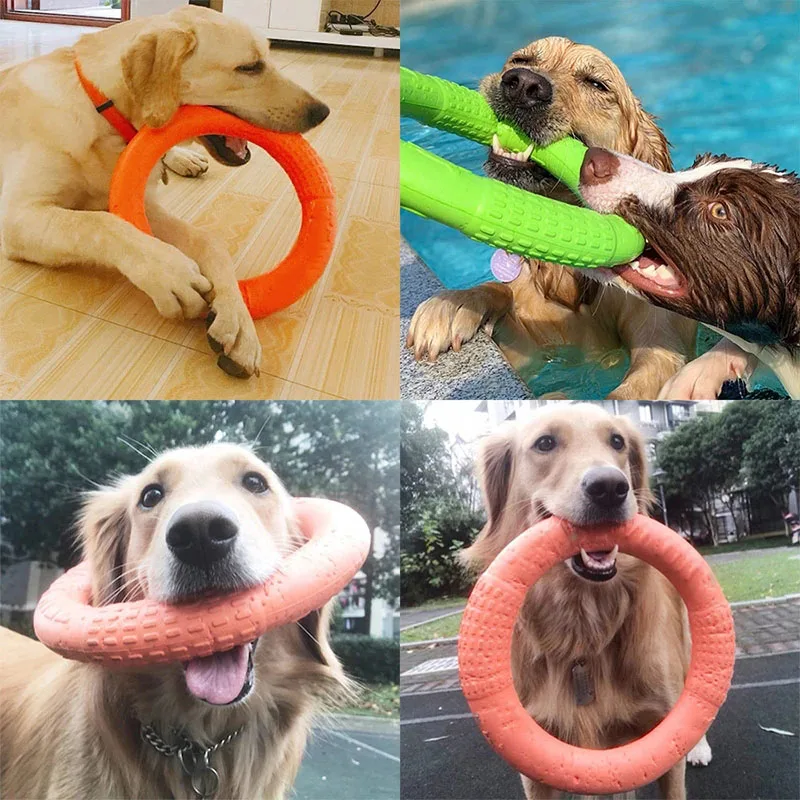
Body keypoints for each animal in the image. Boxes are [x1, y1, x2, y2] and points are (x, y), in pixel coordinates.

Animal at [462, 406, 712, 800]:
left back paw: (699, 747)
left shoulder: (663, 736)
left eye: (617, 441)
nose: (609, 488)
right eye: (545, 443)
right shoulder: (536, 759)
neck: (582, 623)